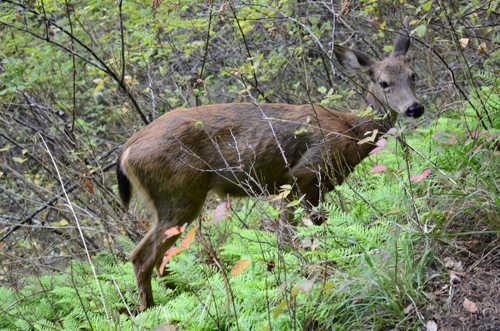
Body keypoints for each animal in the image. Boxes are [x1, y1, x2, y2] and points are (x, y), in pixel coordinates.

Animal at [116, 18, 422, 312]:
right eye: (383, 82)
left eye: (412, 75)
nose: (414, 108)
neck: (351, 131)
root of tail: (126, 150)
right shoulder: (303, 174)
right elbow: (299, 233)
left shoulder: (295, 187)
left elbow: (289, 236)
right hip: (179, 193)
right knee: (141, 256)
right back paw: (152, 309)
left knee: (156, 256)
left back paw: (181, 293)